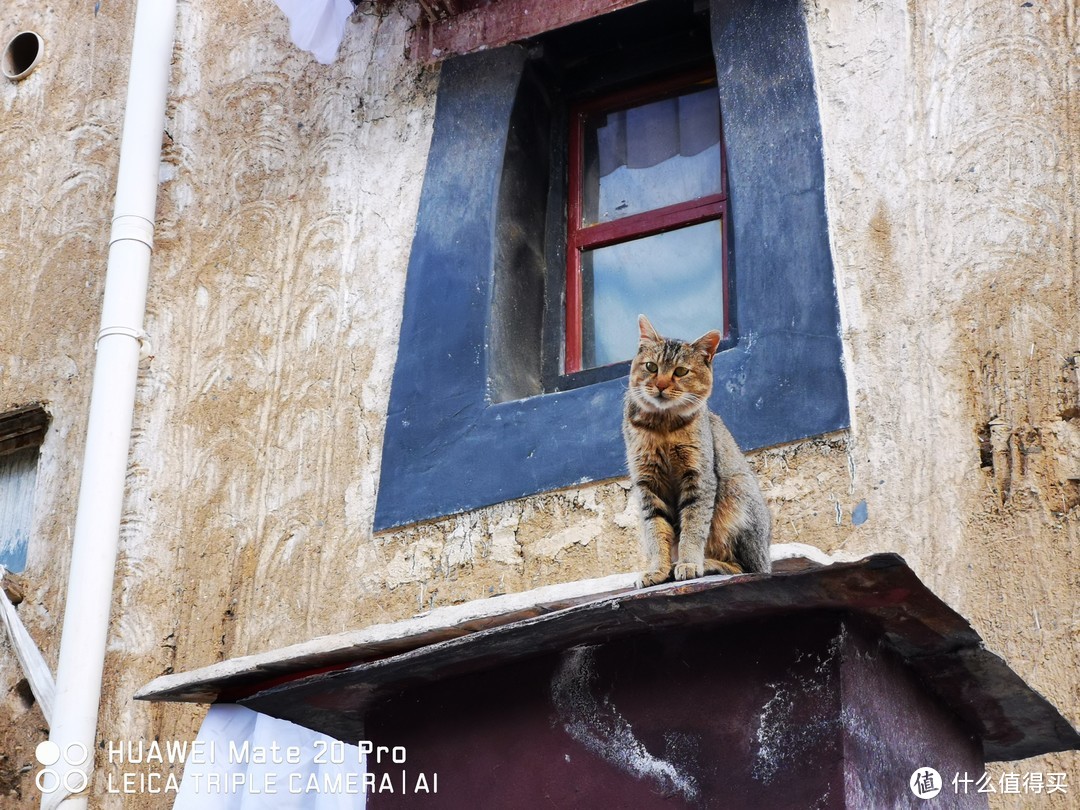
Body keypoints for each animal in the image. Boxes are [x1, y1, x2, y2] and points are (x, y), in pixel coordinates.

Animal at [626, 313, 768, 587]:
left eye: (681, 371)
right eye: (651, 367)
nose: (660, 385)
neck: (663, 426)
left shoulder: (699, 479)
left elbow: (692, 528)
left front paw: (689, 563)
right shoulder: (648, 485)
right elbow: (656, 532)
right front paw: (657, 570)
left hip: (736, 496)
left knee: (745, 568)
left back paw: (706, 564)